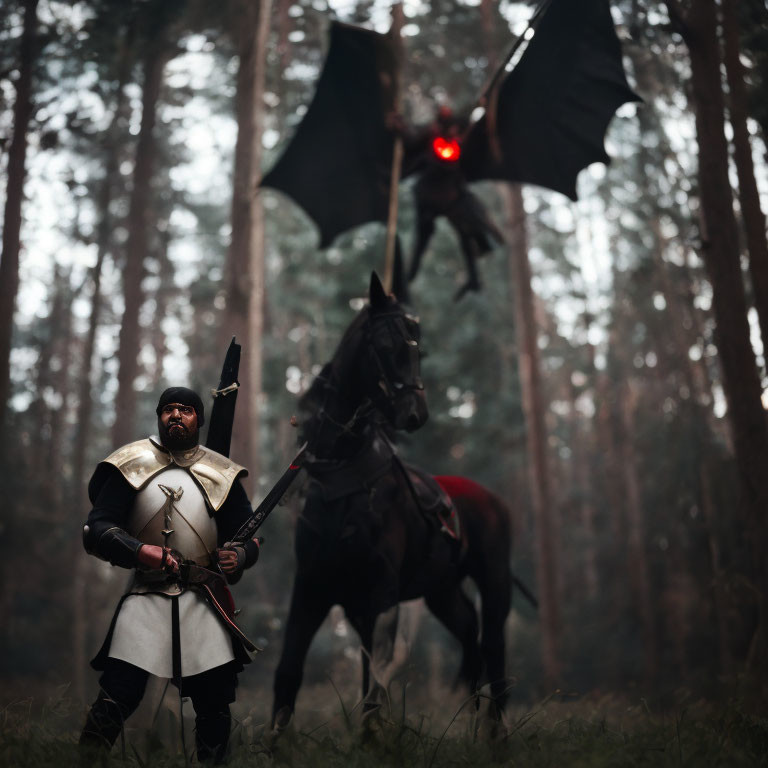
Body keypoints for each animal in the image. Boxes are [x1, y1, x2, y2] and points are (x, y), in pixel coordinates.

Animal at [272, 272, 512, 736]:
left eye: (419, 345)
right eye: (385, 343)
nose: (415, 413)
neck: (344, 478)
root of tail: (493, 500)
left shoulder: (380, 594)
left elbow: (375, 684)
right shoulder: (313, 587)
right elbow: (290, 670)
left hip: (495, 583)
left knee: (494, 649)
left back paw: (495, 732)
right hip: (442, 592)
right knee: (470, 634)